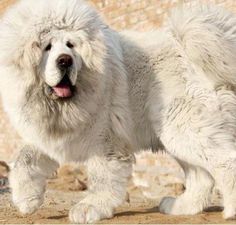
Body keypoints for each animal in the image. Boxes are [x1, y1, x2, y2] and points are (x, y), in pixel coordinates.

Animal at [0, 0, 236, 223]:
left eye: (71, 45)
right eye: (47, 47)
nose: (65, 60)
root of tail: (187, 45)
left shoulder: (106, 140)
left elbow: (102, 176)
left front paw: (91, 207)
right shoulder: (52, 135)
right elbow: (23, 159)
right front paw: (27, 200)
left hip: (184, 127)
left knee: (225, 161)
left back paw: (231, 210)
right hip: (174, 133)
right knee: (201, 176)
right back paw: (181, 206)